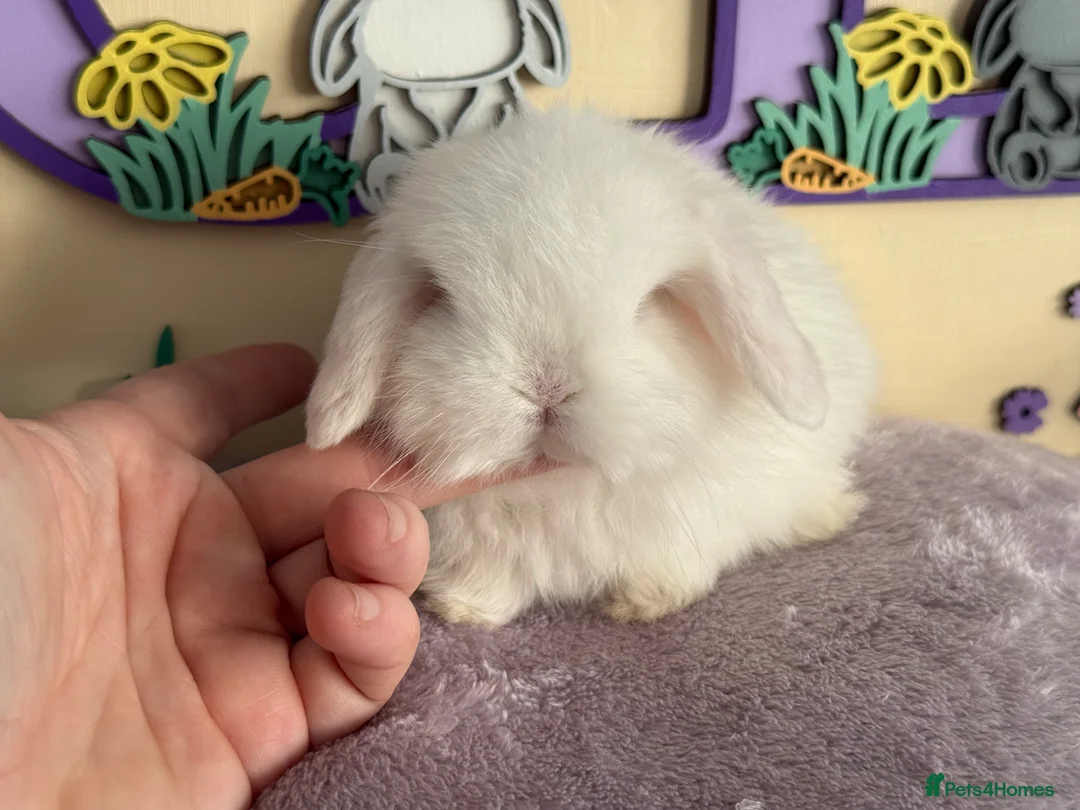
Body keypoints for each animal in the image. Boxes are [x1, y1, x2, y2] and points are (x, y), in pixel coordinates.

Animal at [306, 107, 877, 627]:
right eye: (443, 297)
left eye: (650, 302)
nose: (546, 388)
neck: (562, 491)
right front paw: (463, 608)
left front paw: (646, 601)